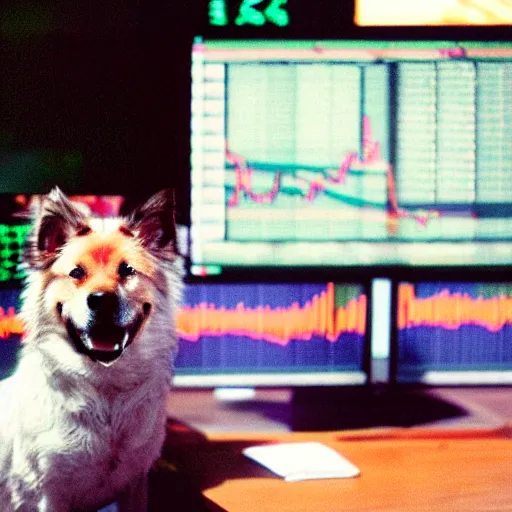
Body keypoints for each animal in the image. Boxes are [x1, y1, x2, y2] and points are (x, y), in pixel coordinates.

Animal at [0, 188, 183, 512]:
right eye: (76, 273)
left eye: (127, 271)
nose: (101, 300)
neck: (106, 390)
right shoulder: (51, 492)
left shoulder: (135, 482)